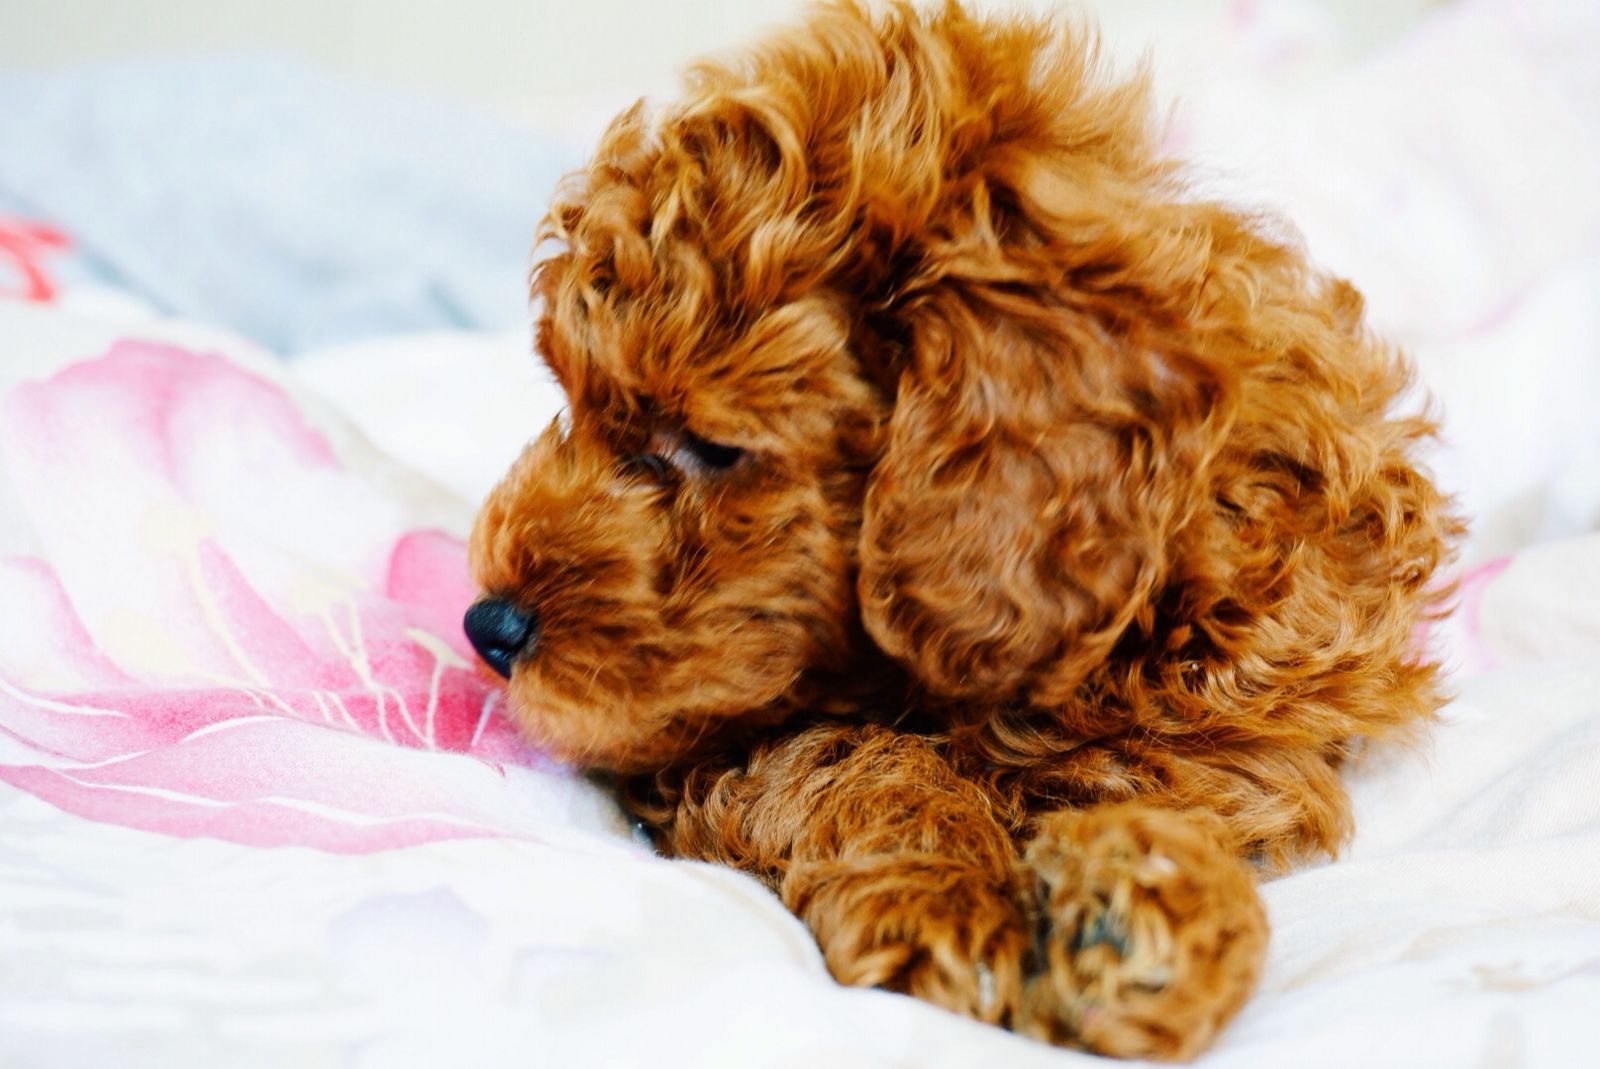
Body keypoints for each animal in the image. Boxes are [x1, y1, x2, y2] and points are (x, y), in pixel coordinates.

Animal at [465, 2, 1459, 1058]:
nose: (488, 625)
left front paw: (1149, 912)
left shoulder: (1255, 705)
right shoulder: (710, 742)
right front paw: (944, 896)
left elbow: (1178, 786)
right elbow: (854, 757)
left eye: (710, 444)